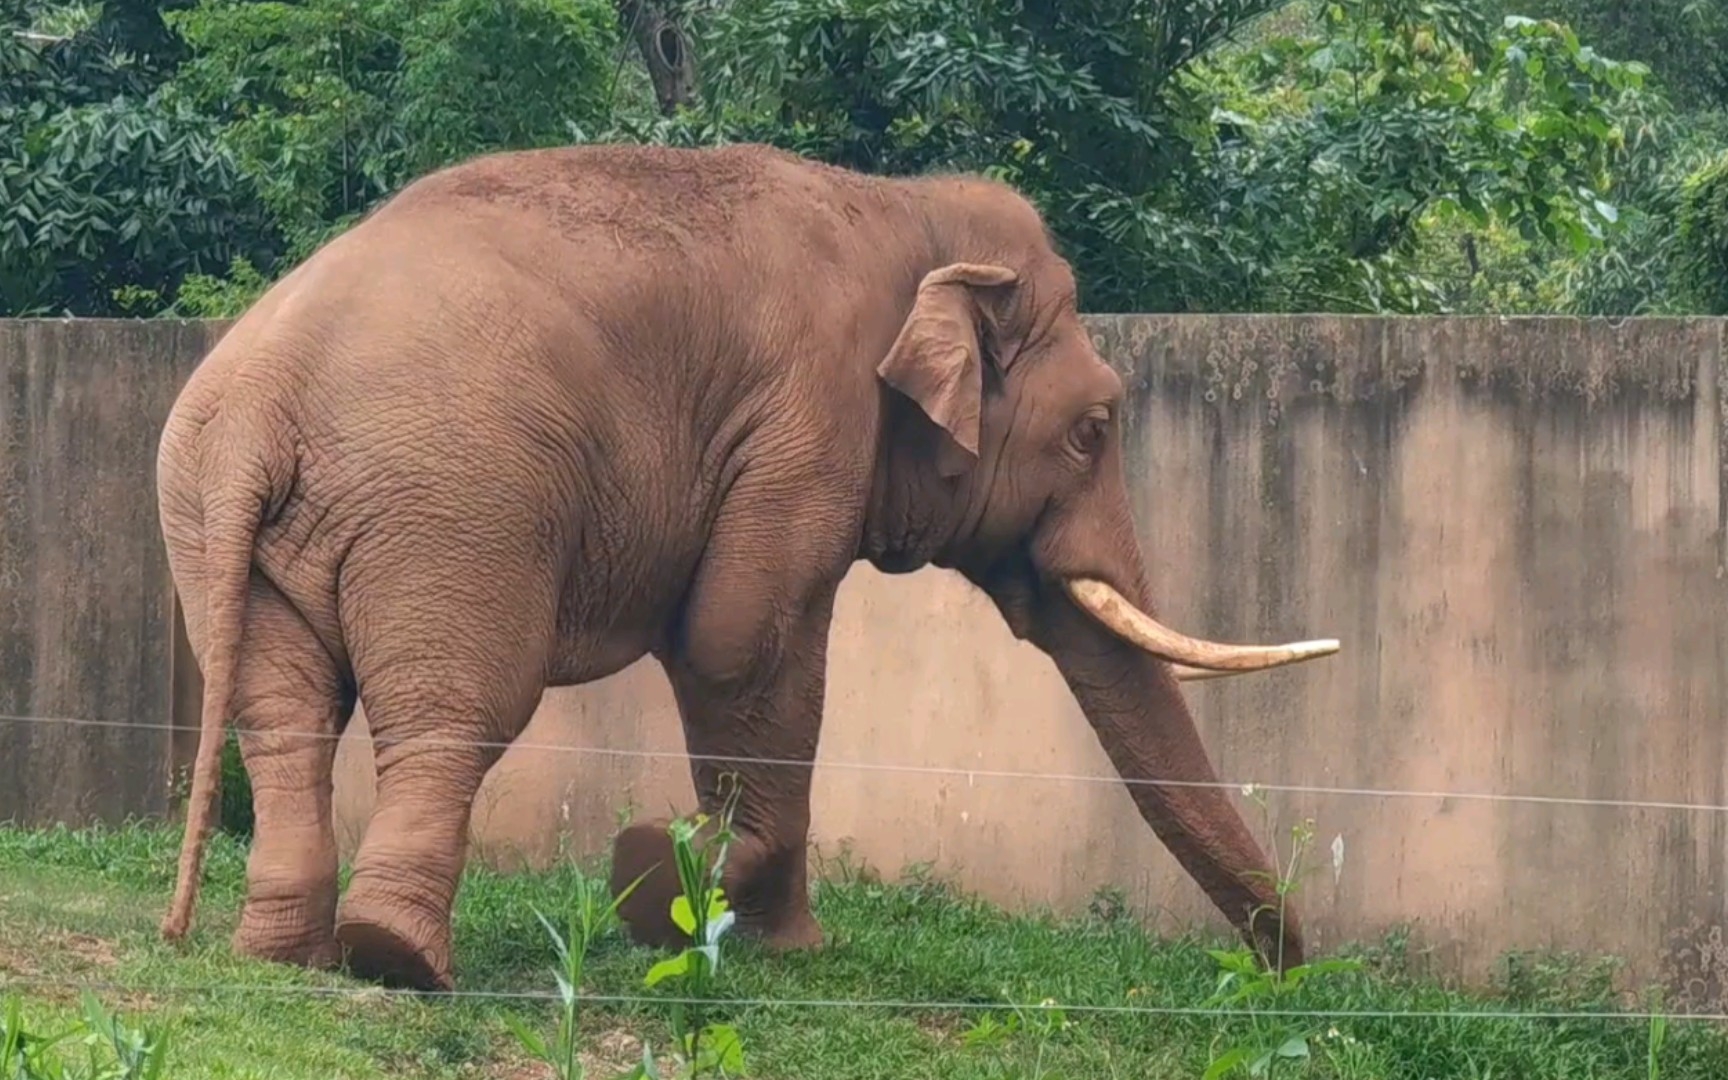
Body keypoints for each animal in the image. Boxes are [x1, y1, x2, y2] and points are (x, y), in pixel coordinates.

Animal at [155, 139, 1340, 988]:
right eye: (1096, 429)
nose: (1288, 973)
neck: (905, 210)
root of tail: (258, 406)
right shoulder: (808, 416)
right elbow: (741, 637)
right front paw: (661, 873)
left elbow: (739, 650)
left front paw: (757, 930)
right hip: (452, 510)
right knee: (460, 710)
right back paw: (397, 963)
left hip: (224, 528)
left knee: (283, 714)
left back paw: (286, 956)